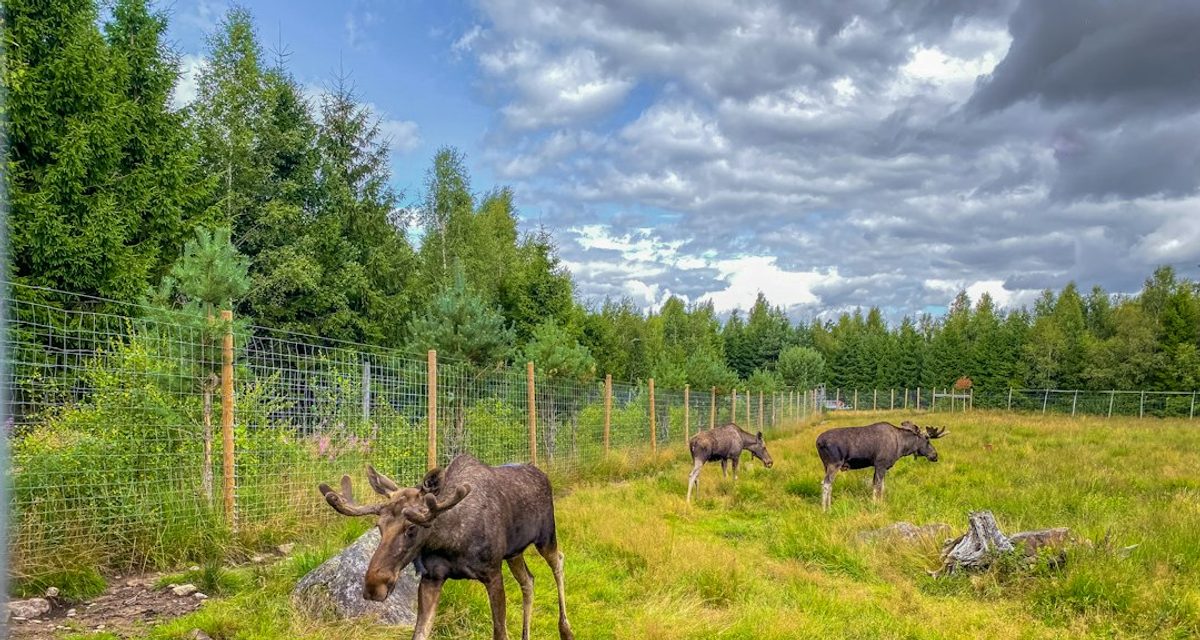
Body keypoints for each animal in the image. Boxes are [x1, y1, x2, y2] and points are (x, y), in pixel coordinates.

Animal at [318, 454, 574, 640]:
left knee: (559, 561)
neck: (449, 542)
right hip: (514, 552)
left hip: (546, 537)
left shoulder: (492, 572)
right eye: (379, 526)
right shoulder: (432, 577)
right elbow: (419, 633)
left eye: (412, 528)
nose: (373, 585)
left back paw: (566, 630)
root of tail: (542, 474)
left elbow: (500, 632)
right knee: (528, 580)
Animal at [815, 420, 947, 511]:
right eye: (927, 439)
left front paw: (880, 503)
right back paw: (825, 509)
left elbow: (880, 486)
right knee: (826, 483)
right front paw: (876, 504)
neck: (902, 447)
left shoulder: (880, 466)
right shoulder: (880, 464)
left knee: (829, 484)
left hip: (826, 465)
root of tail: (818, 442)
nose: (935, 455)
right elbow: (878, 486)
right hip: (834, 463)